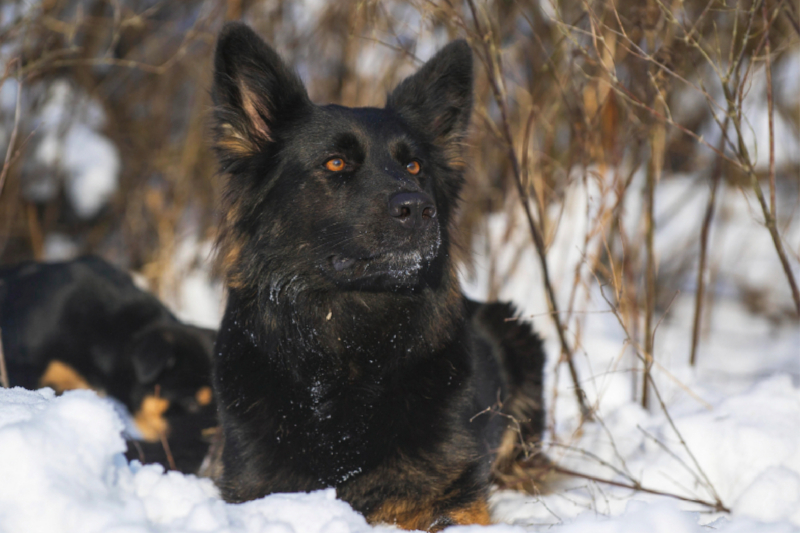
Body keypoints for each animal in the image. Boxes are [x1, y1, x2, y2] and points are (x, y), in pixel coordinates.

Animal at [208, 22, 544, 528]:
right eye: (336, 163)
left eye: (414, 166)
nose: (419, 209)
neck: (348, 341)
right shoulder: (255, 488)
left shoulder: (452, 495)